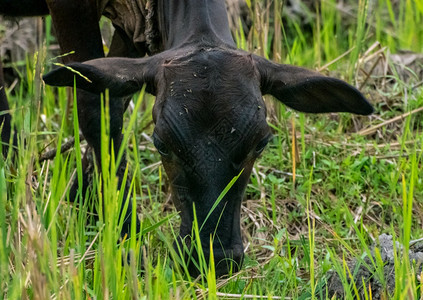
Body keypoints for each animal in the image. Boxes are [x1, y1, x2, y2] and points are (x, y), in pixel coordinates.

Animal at [0, 0, 374, 276]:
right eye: (162, 144)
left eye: (260, 144)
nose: (213, 258)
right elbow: (96, 104)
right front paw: (124, 230)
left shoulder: (133, 26)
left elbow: (114, 95)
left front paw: (87, 198)